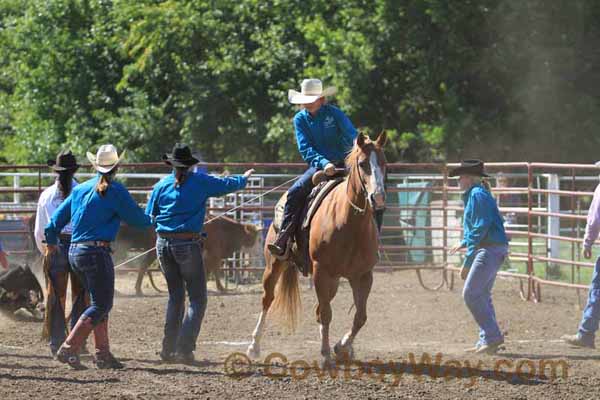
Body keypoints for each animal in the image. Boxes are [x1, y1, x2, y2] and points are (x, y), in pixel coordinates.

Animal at [246, 131, 386, 366]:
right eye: (362, 163)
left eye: (384, 163)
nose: (378, 197)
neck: (349, 223)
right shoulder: (321, 270)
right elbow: (327, 314)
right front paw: (326, 354)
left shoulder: (363, 275)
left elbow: (360, 316)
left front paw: (341, 347)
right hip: (274, 264)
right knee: (268, 299)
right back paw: (254, 346)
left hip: (334, 280)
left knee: (321, 308)